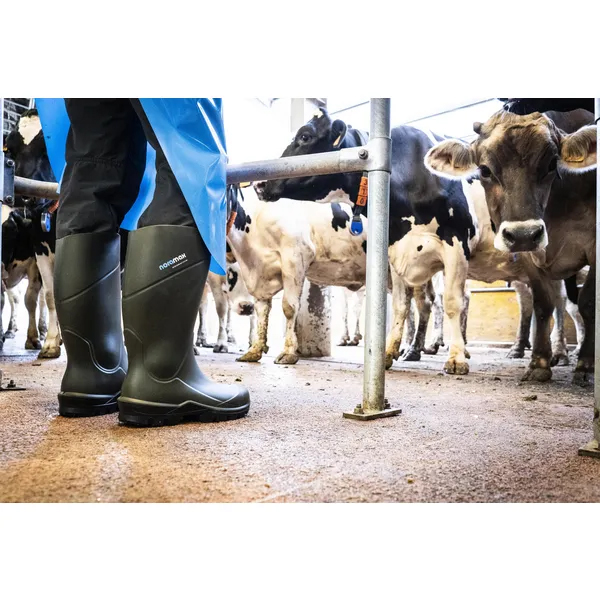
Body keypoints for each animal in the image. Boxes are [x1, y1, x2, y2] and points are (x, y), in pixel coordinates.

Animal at [425, 109, 596, 384]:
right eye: (484, 170)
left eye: (552, 164)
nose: (524, 233)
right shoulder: (529, 254)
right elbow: (542, 304)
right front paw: (539, 362)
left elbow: (589, 302)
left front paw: (585, 365)